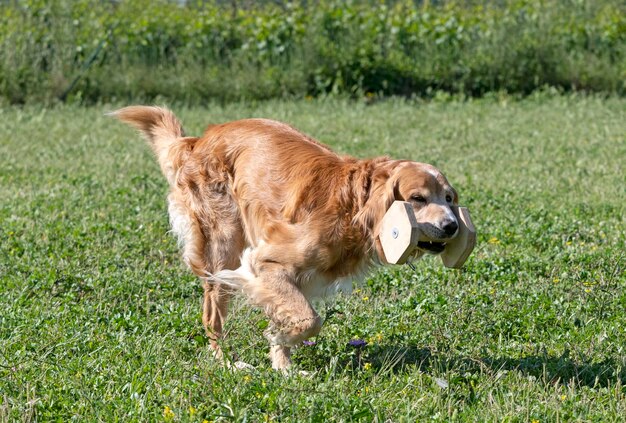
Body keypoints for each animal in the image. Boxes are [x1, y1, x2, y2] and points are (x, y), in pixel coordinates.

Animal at [113, 106, 458, 372]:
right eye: (418, 198)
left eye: (449, 198)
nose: (453, 226)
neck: (353, 207)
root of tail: (198, 140)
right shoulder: (266, 262)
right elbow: (310, 320)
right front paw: (280, 345)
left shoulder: (287, 278)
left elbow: (290, 318)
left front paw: (284, 367)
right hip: (223, 246)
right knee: (212, 316)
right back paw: (226, 362)